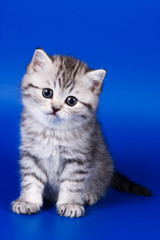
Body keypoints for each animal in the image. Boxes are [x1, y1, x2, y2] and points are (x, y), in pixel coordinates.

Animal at [11, 48, 151, 218]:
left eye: (71, 101)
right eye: (47, 93)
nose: (55, 108)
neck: (53, 132)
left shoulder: (77, 158)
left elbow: (72, 183)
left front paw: (69, 203)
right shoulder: (31, 154)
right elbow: (31, 179)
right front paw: (28, 201)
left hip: (104, 166)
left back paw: (90, 194)